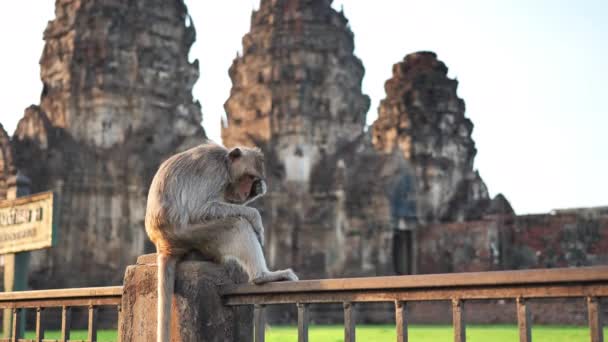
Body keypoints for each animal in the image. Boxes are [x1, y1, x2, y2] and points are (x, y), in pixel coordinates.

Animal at [147, 142, 300, 342]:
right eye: (248, 177)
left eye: (253, 179)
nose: (247, 190)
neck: (225, 163)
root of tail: (163, 244)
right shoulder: (213, 171)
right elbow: (201, 209)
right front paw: (255, 216)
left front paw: (259, 190)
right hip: (193, 234)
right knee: (237, 224)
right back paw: (262, 276)